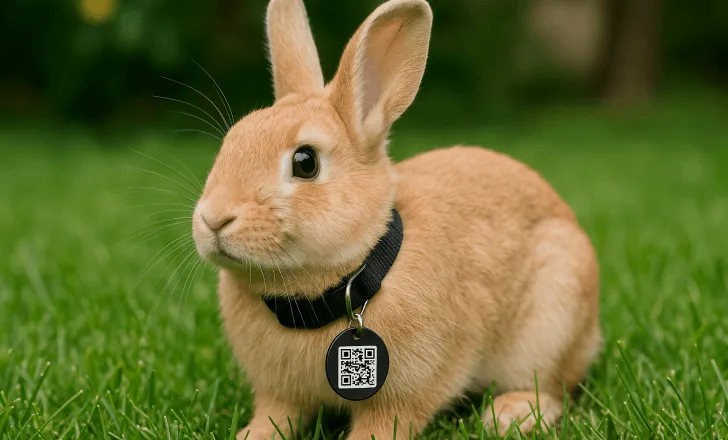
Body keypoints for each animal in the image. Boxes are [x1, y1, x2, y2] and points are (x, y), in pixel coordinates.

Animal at [190, 0, 601, 438]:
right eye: (231, 141)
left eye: (305, 162)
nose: (213, 218)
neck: (348, 282)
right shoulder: (279, 393)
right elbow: (275, 416)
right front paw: (248, 435)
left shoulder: (403, 395)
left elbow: (383, 424)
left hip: (551, 322)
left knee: (554, 387)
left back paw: (510, 415)